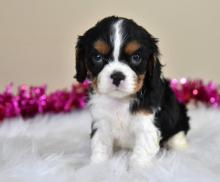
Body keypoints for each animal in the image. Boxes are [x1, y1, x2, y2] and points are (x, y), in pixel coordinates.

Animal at [74, 15, 189, 168]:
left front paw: (138, 169)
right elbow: (100, 145)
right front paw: (97, 166)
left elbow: (142, 150)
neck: (120, 100)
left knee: (177, 138)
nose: (117, 76)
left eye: (136, 58)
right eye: (97, 57)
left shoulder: (146, 123)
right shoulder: (101, 122)